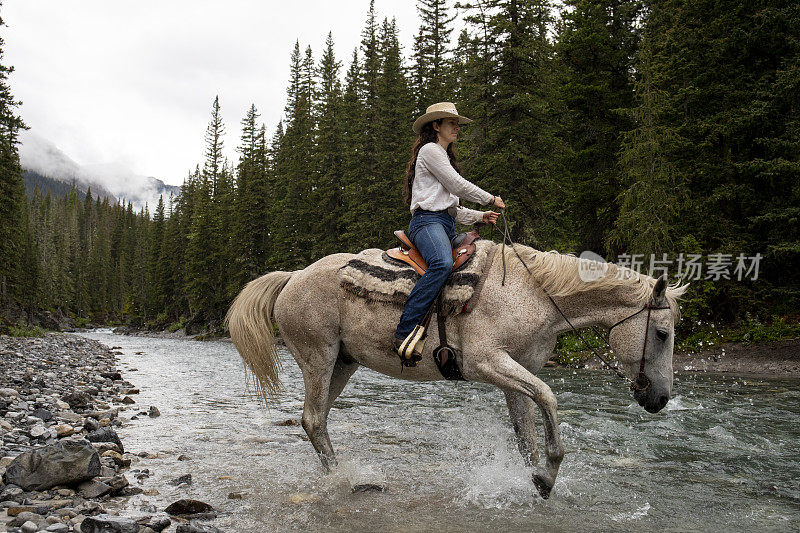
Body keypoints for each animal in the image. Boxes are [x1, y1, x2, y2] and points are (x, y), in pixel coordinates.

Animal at [225, 242, 688, 498]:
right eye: (662, 333)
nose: (659, 398)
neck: (533, 294)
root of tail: (294, 276)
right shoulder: (486, 362)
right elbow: (549, 398)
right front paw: (549, 473)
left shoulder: (513, 374)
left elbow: (526, 434)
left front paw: (534, 479)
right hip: (318, 358)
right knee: (313, 418)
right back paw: (345, 482)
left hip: (343, 363)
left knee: (314, 419)